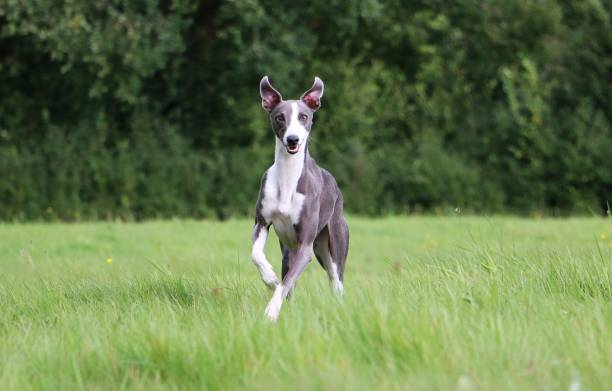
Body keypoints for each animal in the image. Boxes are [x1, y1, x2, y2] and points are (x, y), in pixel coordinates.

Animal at [250, 76, 350, 322]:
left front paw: (271, 311)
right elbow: (257, 255)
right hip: (289, 251)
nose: (292, 139)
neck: (287, 178)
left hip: (331, 246)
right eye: (279, 117)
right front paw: (270, 278)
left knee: (336, 281)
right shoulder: (261, 223)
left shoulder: (305, 247)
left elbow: (286, 283)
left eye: (303, 116)